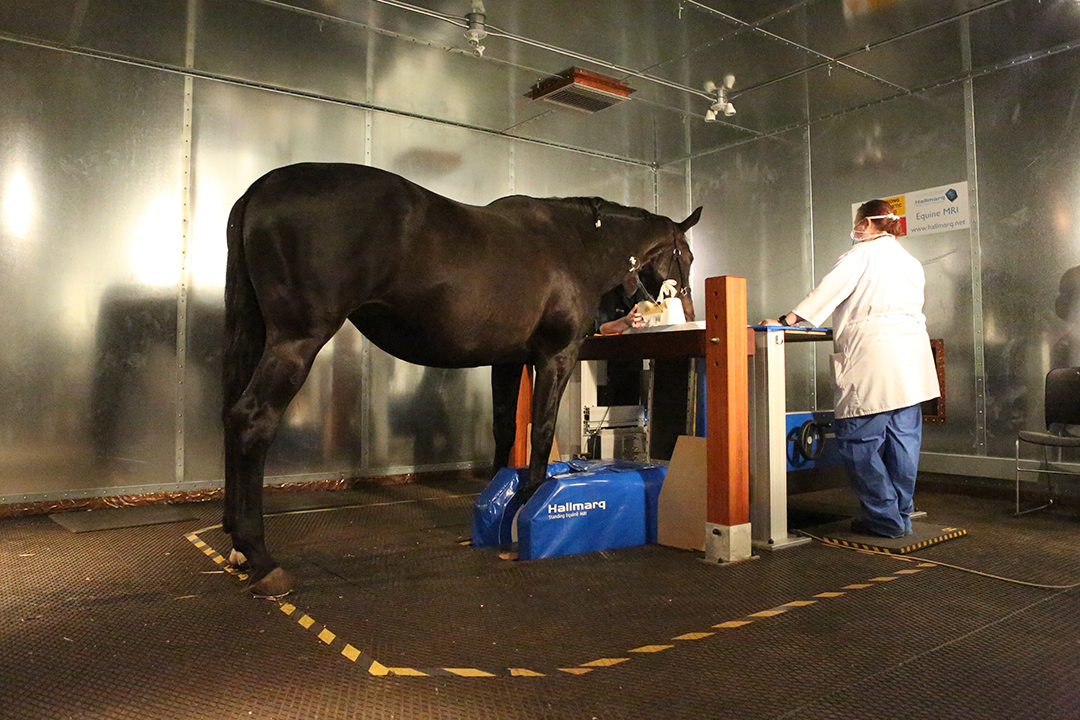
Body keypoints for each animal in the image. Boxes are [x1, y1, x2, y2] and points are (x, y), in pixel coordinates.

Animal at [219, 162, 699, 595]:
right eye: (687, 255)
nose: (688, 308)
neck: (574, 245)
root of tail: (259, 189)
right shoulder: (556, 357)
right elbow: (540, 431)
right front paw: (527, 501)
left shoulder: (508, 362)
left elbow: (505, 430)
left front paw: (499, 504)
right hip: (297, 341)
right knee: (252, 420)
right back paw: (262, 558)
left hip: (257, 336)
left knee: (229, 413)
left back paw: (236, 543)